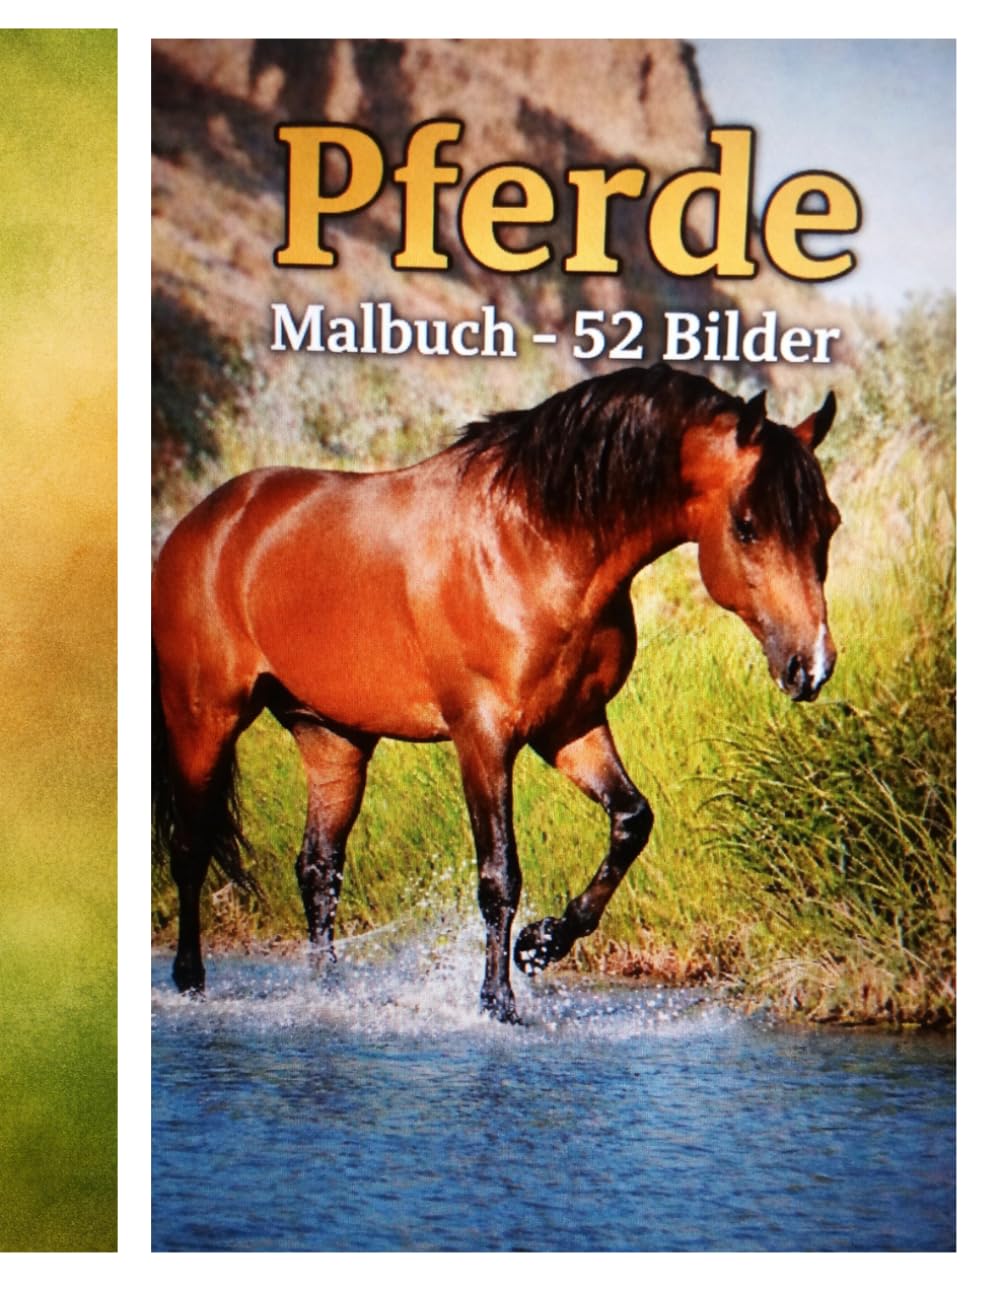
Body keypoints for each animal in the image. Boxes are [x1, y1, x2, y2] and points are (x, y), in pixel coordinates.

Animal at [152, 361, 840, 1022]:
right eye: (747, 526)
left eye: (827, 525)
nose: (811, 665)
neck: (534, 545)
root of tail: (203, 525)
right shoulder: (482, 735)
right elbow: (499, 874)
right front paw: (497, 1001)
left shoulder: (572, 725)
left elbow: (631, 821)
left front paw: (541, 944)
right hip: (204, 719)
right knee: (189, 847)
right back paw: (190, 980)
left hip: (332, 737)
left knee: (318, 869)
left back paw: (328, 991)